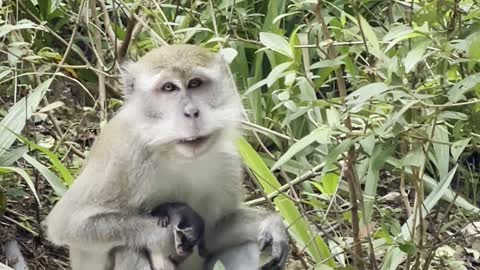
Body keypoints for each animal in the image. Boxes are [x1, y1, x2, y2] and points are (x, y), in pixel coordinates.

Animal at [46, 43, 288, 268]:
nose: (191, 112)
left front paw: (270, 224)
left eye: (195, 83)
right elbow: (68, 224)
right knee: (126, 248)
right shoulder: (124, 155)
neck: (173, 152)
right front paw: (166, 233)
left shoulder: (227, 159)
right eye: (169, 88)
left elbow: (213, 233)